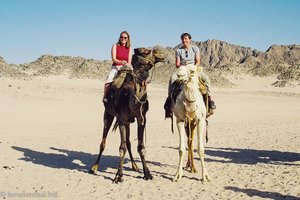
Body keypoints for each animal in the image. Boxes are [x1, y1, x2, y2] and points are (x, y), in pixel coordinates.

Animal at [89, 47, 164, 183]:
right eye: (146, 51)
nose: (160, 52)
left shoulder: (141, 118)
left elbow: (140, 146)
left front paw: (147, 173)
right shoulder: (122, 120)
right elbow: (121, 147)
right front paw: (118, 175)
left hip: (128, 121)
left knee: (128, 142)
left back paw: (135, 166)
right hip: (108, 114)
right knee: (103, 142)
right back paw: (94, 167)